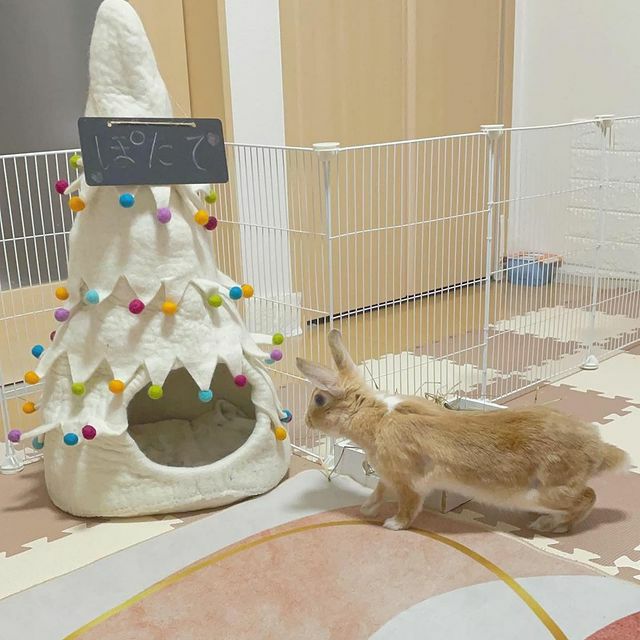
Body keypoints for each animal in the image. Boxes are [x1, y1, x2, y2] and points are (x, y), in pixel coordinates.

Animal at [296, 330, 630, 532]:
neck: (376, 416)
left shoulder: (407, 481)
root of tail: (598, 451)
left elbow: (409, 505)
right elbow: (378, 489)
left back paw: (549, 526)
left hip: (546, 491)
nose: (307, 422)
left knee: (589, 497)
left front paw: (393, 524)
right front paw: (366, 508)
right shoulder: (388, 476)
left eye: (319, 400)